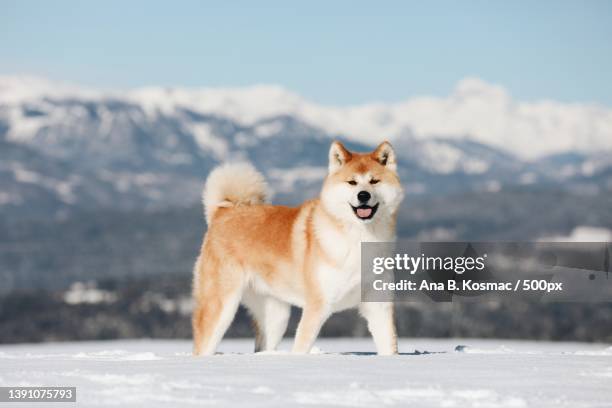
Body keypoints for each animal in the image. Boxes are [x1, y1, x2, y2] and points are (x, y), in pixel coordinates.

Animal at [191, 140, 402, 354]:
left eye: (374, 181)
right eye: (352, 182)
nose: (363, 195)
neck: (359, 237)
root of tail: (222, 212)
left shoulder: (379, 306)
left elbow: (389, 345)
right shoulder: (317, 306)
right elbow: (302, 346)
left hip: (276, 316)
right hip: (221, 307)